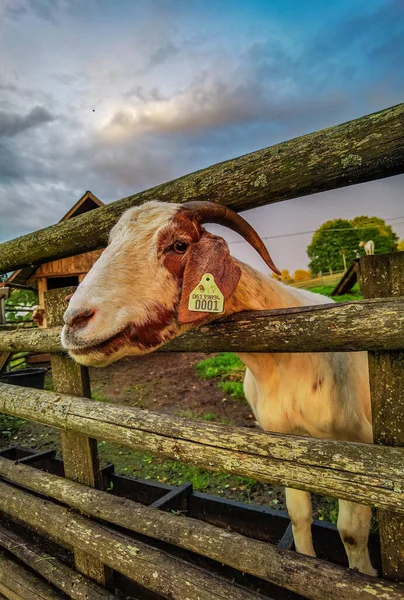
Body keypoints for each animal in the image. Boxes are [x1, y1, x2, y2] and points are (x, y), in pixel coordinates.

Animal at [62, 202, 376, 576]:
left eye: (179, 245)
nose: (74, 321)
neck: (287, 362)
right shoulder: (284, 443)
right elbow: (299, 517)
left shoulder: (355, 453)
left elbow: (352, 534)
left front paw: (365, 575)